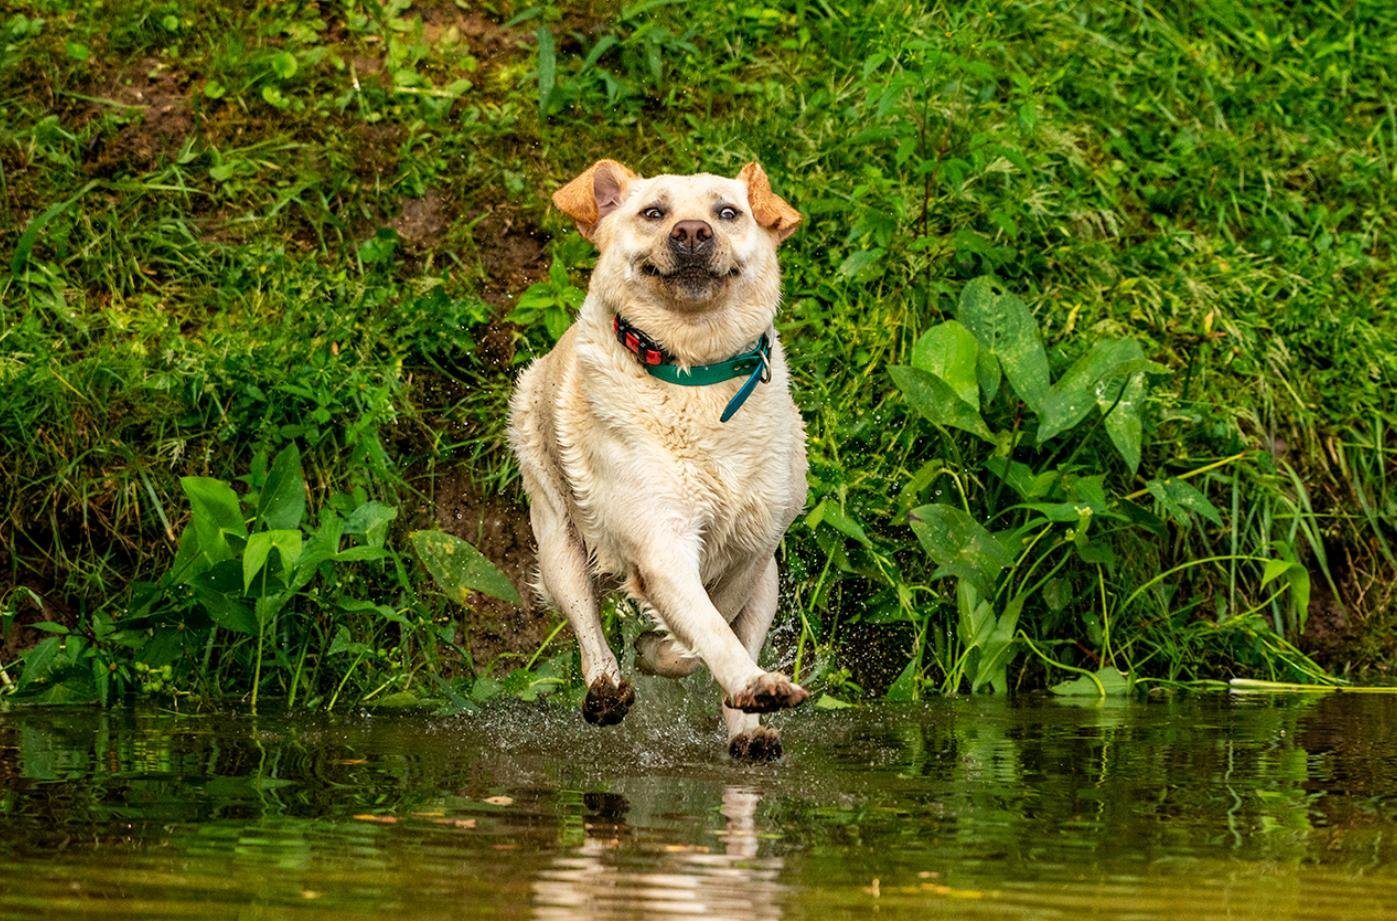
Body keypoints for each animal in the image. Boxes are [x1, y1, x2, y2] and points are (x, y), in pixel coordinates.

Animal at [508, 160, 810, 765]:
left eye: (727, 212)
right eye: (654, 212)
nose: (692, 232)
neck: (696, 372)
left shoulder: (754, 550)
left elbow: (717, 625)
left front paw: (710, 673)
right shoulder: (660, 543)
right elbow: (706, 629)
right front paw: (684, 659)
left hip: (769, 581)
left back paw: (749, 732)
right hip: (557, 541)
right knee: (587, 627)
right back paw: (607, 689)